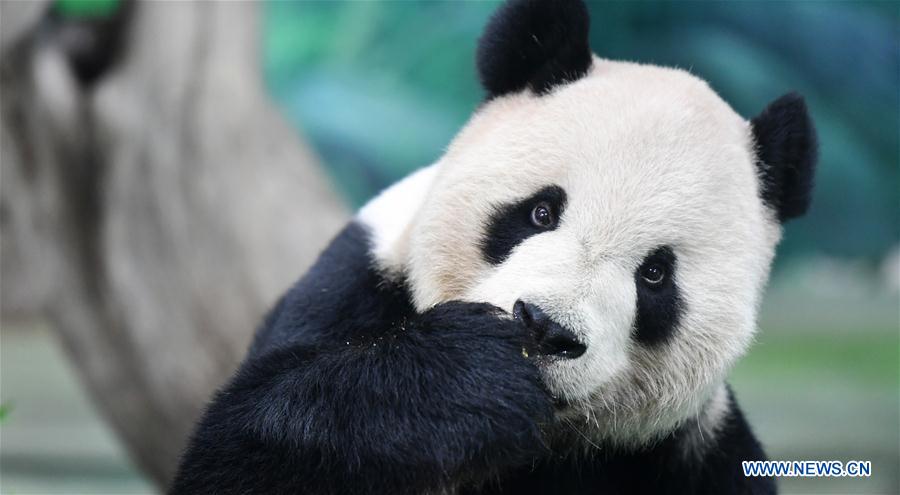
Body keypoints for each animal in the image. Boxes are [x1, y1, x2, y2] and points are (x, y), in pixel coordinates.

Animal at [169, 0, 816, 495]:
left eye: (656, 274)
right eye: (540, 212)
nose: (544, 328)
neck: (540, 440)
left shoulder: (685, 451)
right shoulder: (350, 289)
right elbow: (244, 449)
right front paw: (467, 377)